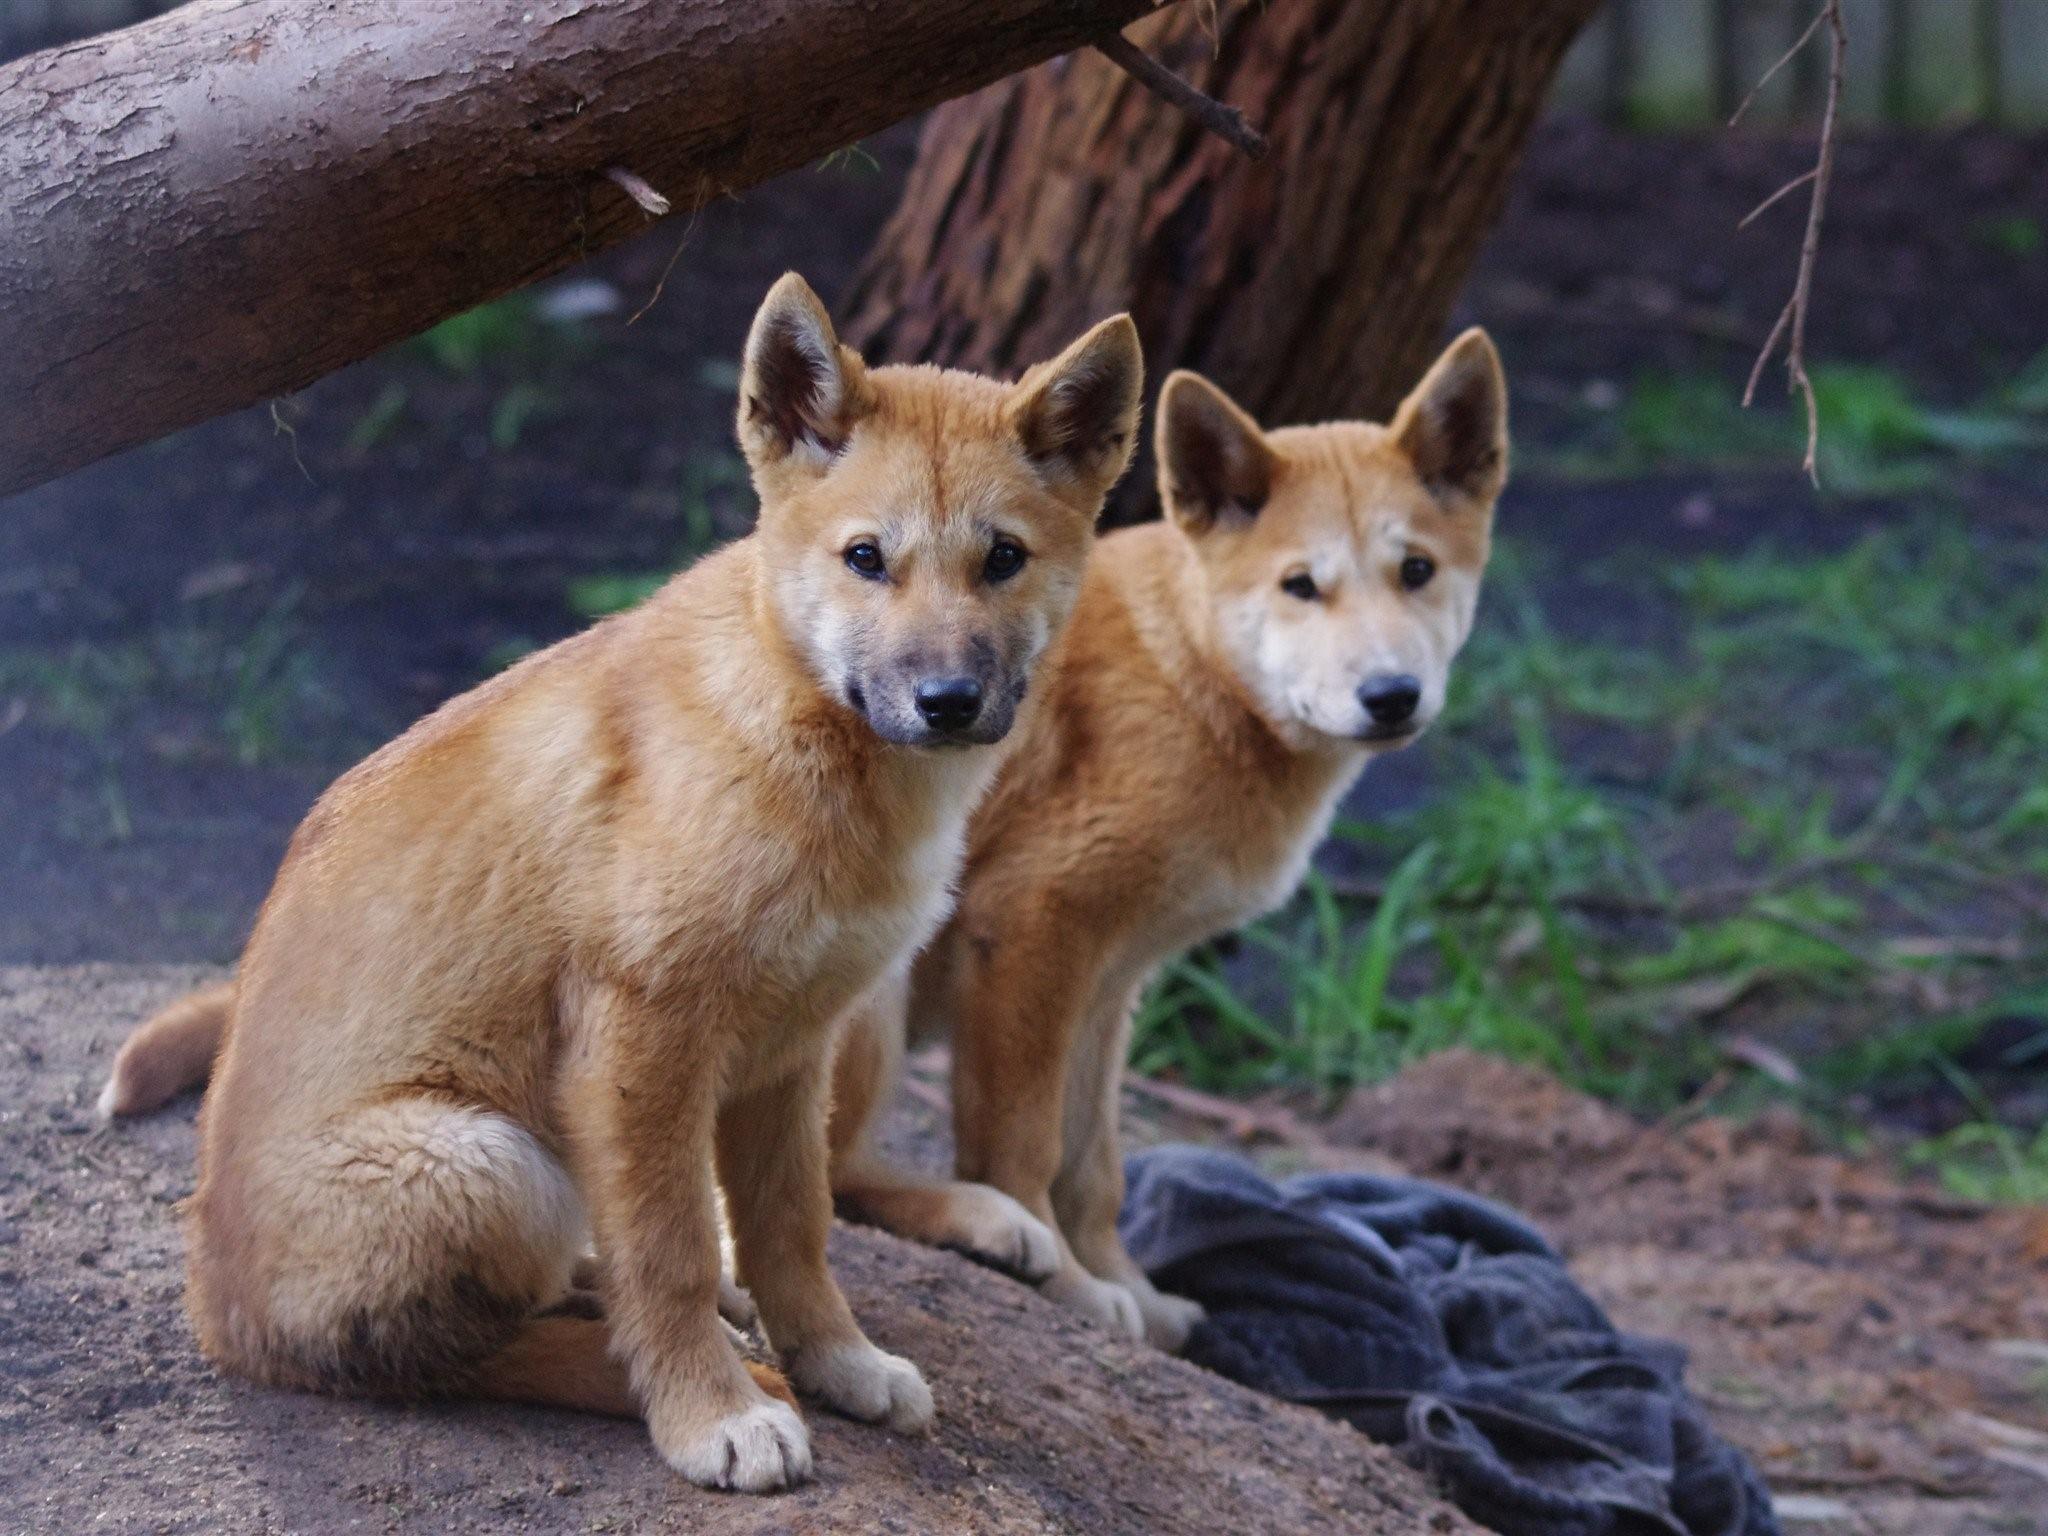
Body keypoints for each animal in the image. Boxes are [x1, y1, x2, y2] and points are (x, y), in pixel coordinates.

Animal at [103, 274, 1146, 1490]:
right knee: (442, 1352)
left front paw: (836, 1360)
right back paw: (640, 1366)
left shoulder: (792, 1049)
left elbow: (793, 1232)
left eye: (1002, 559)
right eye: (866, 558)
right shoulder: (645, 1034)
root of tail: (211, 1310)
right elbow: (673, 1248)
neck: (802, 748)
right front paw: (711, 1413)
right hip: (491, 1167)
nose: (945, 701)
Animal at [823, 333, 1515, 1343]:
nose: (1391, 696)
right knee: (827, 1173)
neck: (1193, 673)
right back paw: (982, 1222)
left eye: (1417, 571)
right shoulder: (1032, 926)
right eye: (1301, 587)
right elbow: (1022, 1144)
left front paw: (1131, 1291)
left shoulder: (1110, 981)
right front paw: (1072, 1284)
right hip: (868, 989)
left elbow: (1094, 1167)